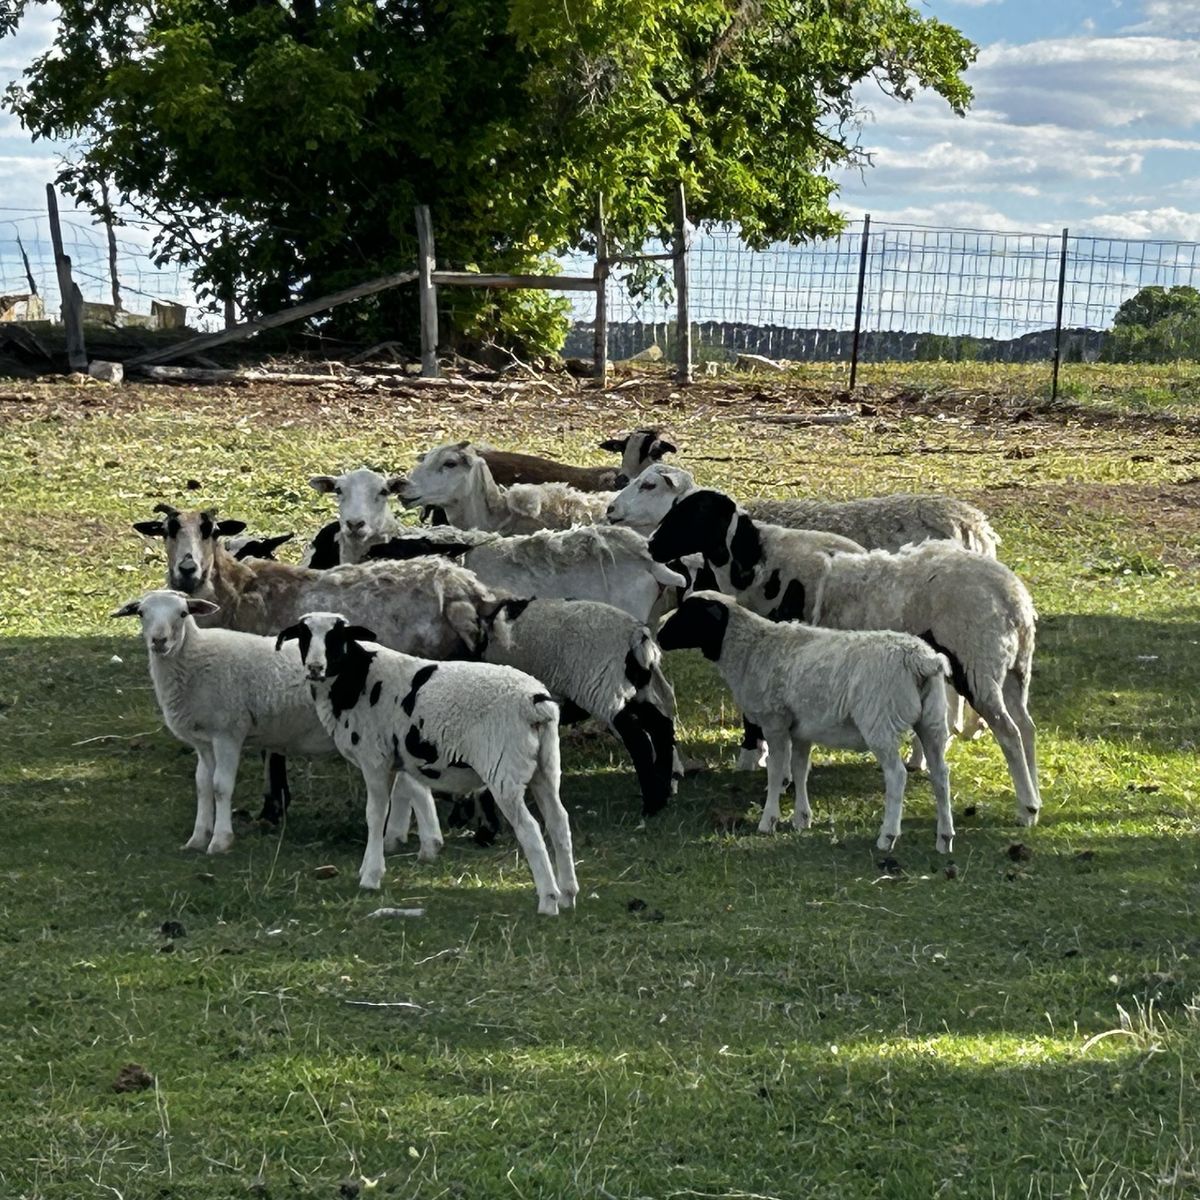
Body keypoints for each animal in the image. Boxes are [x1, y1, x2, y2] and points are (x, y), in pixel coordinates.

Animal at [111, 590, 441, 862]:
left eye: (182, 613)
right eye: (142, 613)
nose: (159, 641)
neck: (194, 657)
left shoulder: (229, 731)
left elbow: (220, 786)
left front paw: (220, 841)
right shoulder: (203, 740)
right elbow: (203, 785)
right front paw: (196, 839)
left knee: (414, 785)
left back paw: (426, 845)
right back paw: (407, 842)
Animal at [276, 612, 577, 914]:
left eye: (337, 637)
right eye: (304, 635)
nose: (315, 668)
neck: (356, 679)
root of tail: (536, 703)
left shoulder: (375, 759)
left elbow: (375, 815)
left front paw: (371, 876)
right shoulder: (402, 761)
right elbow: (413, 793)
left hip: (504, 771)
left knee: (530, 829)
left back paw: (548, 901)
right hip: (546, 768)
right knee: (558, 821)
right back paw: (568, 895)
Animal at [477, 597, 677, 816]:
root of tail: (637, 636)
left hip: (604, 688)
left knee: (639, 740)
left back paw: (651, 805)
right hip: (636, 690)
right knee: (661, 726)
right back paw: (663, 793)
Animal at [649, 490, 1041, 825]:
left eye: (692, 514)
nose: (652, 545)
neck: (761, 567)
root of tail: (1014, 600)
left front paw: (773, 774)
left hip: (977, 665)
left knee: (1008, 732)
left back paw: (1025, 808)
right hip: (1012, 670)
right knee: (1026, 726)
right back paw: (1035, 797)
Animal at [658, 592, 954, 851]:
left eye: (688, 613)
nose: (658, 633)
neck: (751, 650)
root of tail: (921, 660)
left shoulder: (775, 721)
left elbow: (777, 771)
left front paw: (769, 820)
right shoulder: (801, 728)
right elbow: (800, 769)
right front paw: (802, 818)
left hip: (880, 721)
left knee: (897, 775)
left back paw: (888, 836)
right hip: (932, 721)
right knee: (940, 774)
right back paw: (944, 838)